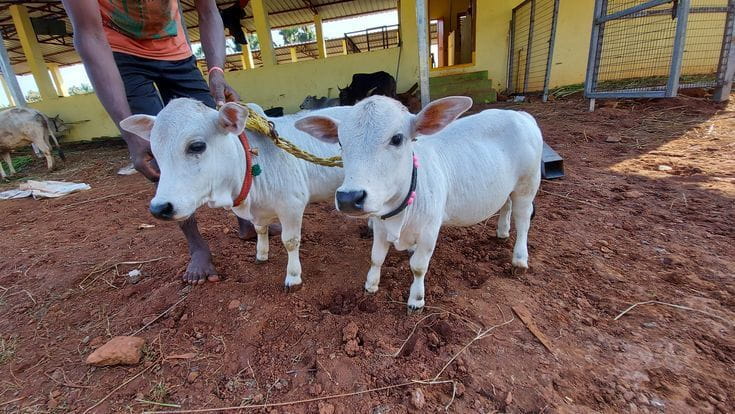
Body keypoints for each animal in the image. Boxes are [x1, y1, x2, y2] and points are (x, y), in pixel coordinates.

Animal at [120, 98, 349, 291]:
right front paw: (261, 255)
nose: (159, 208)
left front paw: (293, 277)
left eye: (196, 146)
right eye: (155, 151)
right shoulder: (260, 212)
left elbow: (290, 241)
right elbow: (260, 230)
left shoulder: (292, 205)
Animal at [296, 96, 543, 313]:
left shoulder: (430, 230)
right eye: (340, 142)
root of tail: (521, 115)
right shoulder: (379, 226)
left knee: (523, 219)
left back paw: (520, 258)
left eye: (397, 139)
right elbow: (376, 257)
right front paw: (371, 285)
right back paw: (502, 231)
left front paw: (416, 299)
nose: (349, 197)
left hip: (528, 184)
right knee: (506, 205)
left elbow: (418, 266)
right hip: (508, 187)